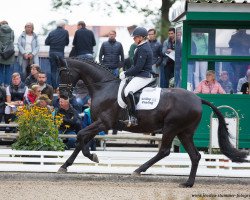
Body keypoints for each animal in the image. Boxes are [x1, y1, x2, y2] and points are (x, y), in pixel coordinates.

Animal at [57, 57, 248, 188]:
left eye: (64, 72)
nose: (63, 96)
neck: (104, 87)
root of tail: (198, 99)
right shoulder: (98, 123)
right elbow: (82, 139)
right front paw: (66, 165)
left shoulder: (104, 123)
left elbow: (81, 135)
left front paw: (91, 157)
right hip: (184, 132)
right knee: (195, 156)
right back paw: (188, 183)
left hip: (171, 127)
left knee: (164, 151)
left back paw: (139, 170)